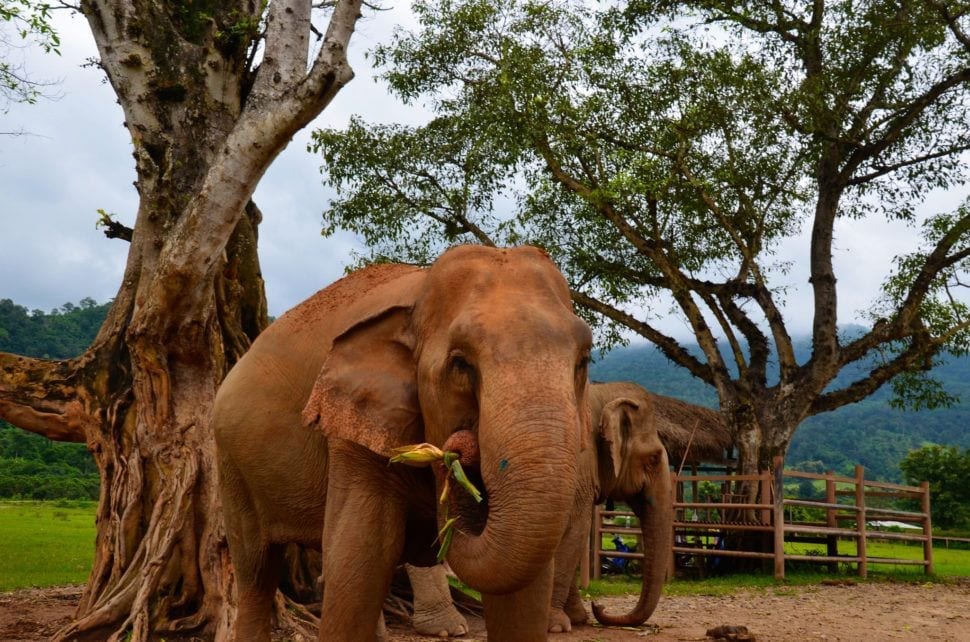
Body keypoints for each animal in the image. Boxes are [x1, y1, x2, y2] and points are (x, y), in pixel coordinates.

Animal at [212, 245, 592, 641]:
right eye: (460, 364)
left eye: (584, 361)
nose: (457, 452)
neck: (419, 294)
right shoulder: (351, 434)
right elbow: (361, 555)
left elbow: (524, 591)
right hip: (231, 464)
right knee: (256, 570)